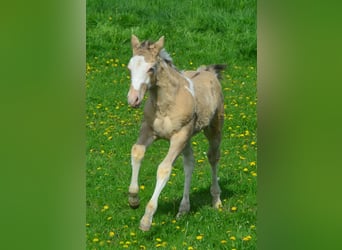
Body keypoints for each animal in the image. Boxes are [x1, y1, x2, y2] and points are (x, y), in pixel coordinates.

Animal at [127, 34, 226, 230]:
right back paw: (183, 209)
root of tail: (208, 71)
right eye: (130, 67)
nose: (133, 99)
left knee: (213, 157)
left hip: (212, 128)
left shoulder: (178, 137)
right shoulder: (148, 130)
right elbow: (137, 151)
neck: (166, 104)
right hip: (187, 139)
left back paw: (216, 200)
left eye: (151, 68)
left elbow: (164, 169)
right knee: (189, 163)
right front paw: (133, 199)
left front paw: (147, 219)